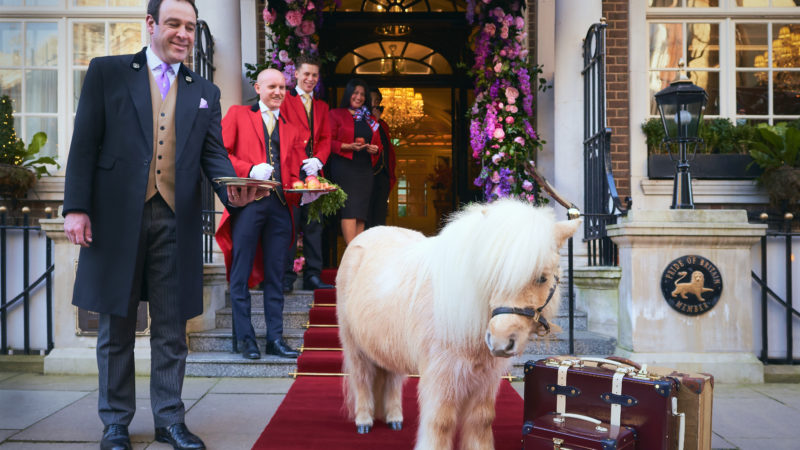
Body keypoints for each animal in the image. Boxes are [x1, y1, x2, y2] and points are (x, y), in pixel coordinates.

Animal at [334, 200, 580, 450]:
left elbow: (481, 420)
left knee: (391, 377)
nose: (500, 341)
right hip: (354, 345)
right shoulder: (441, 376)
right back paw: (364, 421)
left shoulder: (486, 378)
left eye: (542, 278)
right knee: (362, 378)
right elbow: (440, 422)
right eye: (491, 275)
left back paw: (394, 419)